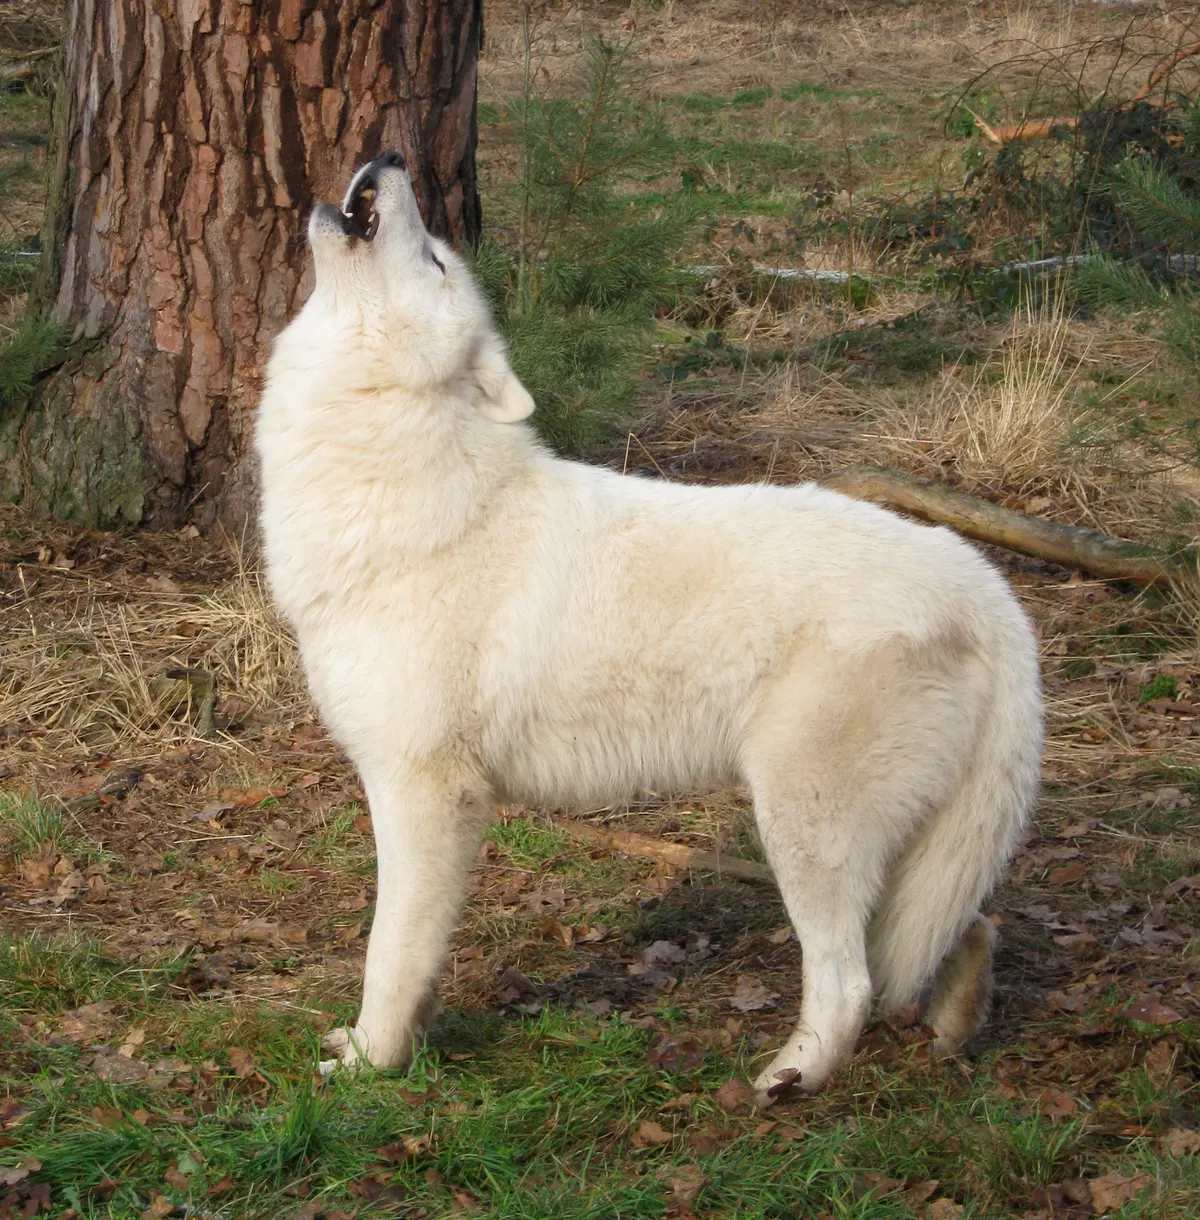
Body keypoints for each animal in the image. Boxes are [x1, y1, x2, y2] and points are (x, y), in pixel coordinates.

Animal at [255, 152, 1043, 1104]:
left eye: (437, 259)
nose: (392, 159)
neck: (402, 473)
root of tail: (990, 592)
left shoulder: (424, 792)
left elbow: (389, 953)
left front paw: (373, 1066)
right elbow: (423, 956)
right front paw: (409, 1044)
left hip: (802, 829)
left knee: (850, 981)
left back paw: (788, 1079)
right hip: (903, 851)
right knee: (965, 929)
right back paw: (951, 1036)